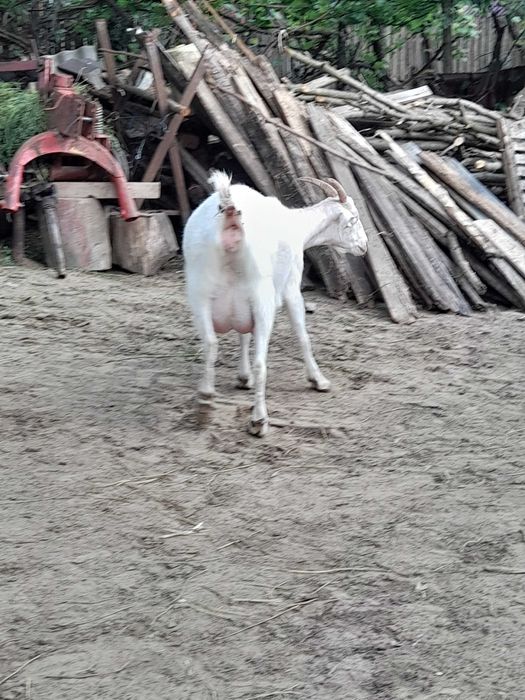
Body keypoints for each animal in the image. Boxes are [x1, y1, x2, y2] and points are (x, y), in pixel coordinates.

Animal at [183, 171, 368, 436]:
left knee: (210, 344)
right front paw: (318, 380)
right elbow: (302, 335)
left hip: (199, 294)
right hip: (264, 299)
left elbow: (243, 336)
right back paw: (259, 420)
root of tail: (230, 217)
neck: (296, 227)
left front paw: (243, 378)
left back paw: (205, 401)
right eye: (353, 219)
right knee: (261, 362)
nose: (364, 246)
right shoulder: (291, 287)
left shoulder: (242, 305)